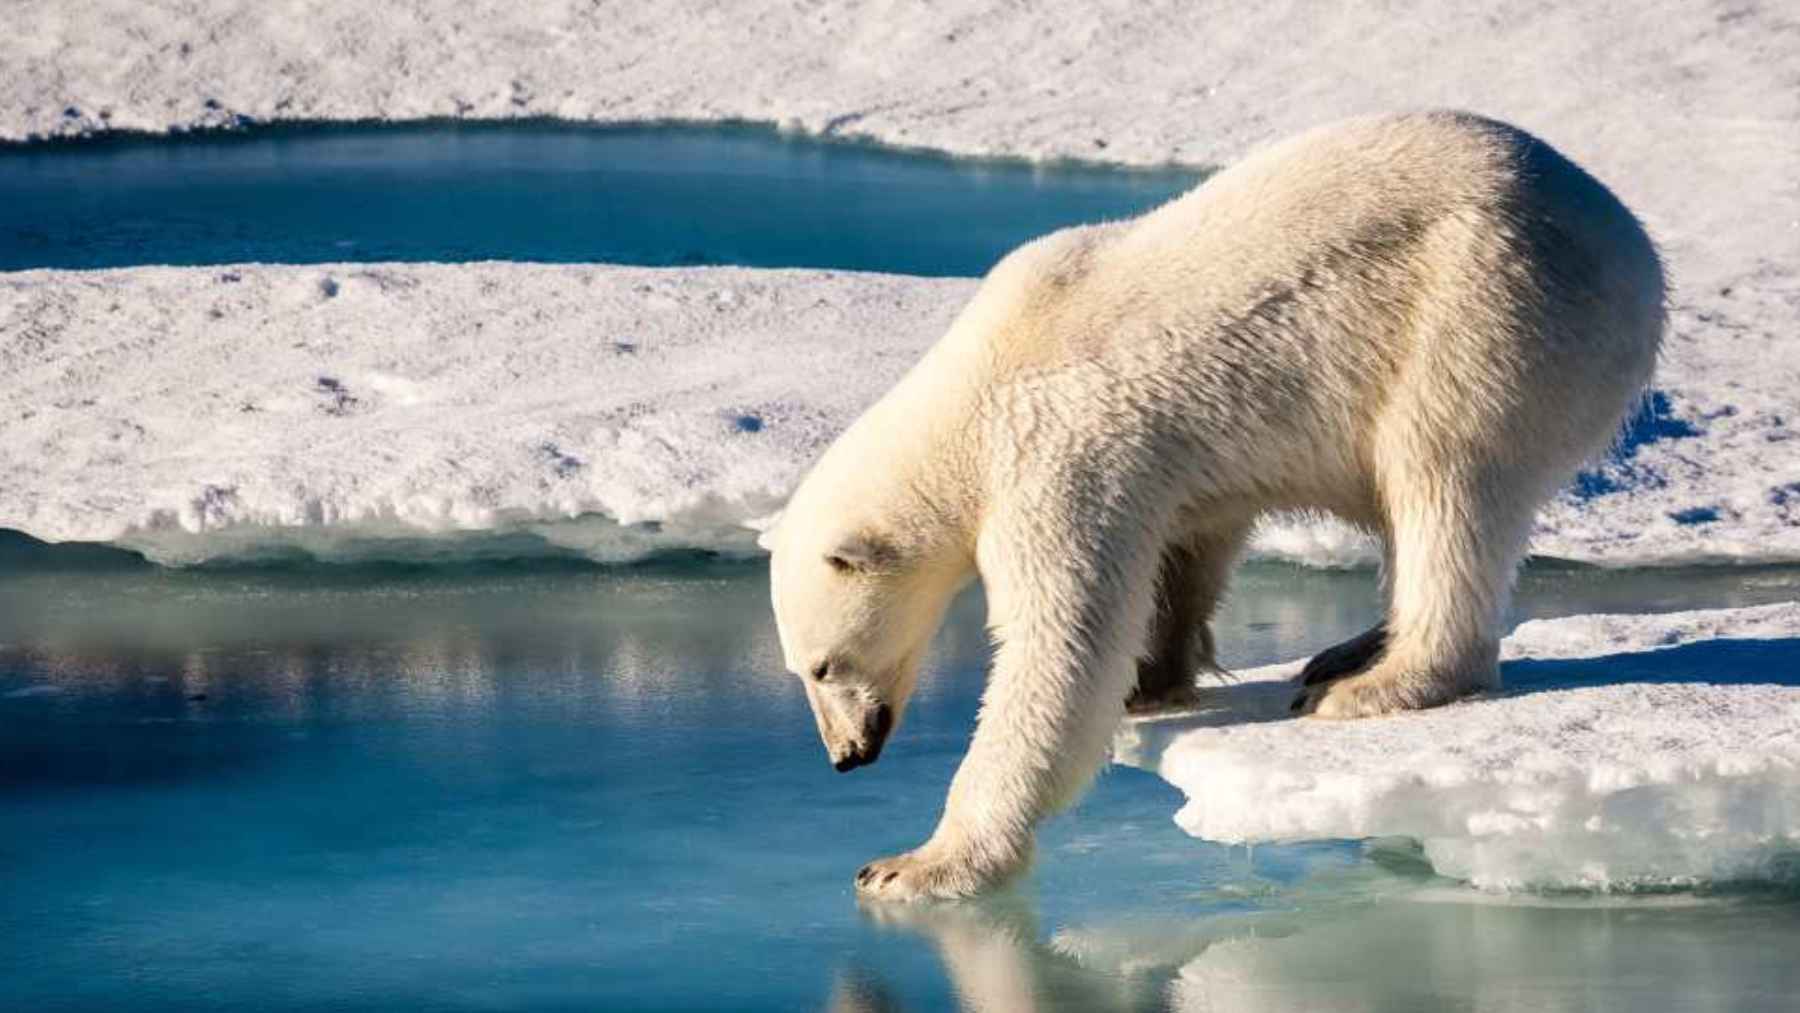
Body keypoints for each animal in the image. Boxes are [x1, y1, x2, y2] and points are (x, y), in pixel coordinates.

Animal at [765, 111, 1665, 901]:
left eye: (823, 665)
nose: (846, 755)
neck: (973, 390)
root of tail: (1635, 249)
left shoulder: (1053, 453)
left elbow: (1060, 647)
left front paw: (914, 864)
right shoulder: (1160, 462)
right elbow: (1185, 547)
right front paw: (1154, 677)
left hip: (1487, 307)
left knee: (1443, 477)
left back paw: (1376, 682)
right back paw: (1349, 649)